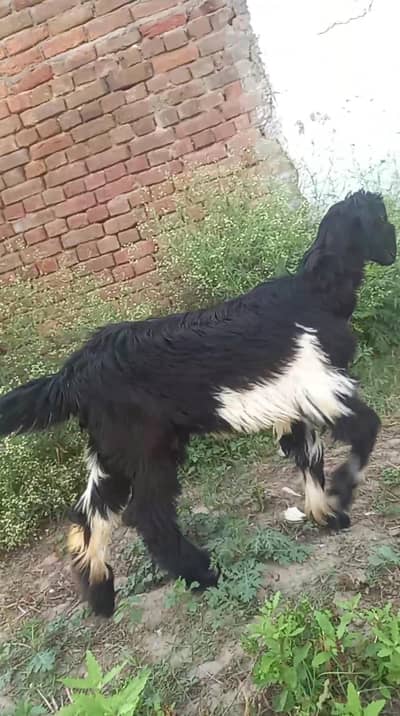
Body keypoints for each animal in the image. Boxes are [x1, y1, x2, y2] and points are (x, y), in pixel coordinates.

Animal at [0, 190, 396, 618]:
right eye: (383, 219)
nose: (393, 251)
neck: (316, 292)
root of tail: (74, 371)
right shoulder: (323, 387)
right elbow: (366, 430)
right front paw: (342, 492)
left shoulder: (296, 407)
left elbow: (311, 460)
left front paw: (328, 515)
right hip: (147, 448)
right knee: (147, 515)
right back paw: (202, 575)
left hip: (113, 453)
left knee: (91, 513)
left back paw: (102, 595)